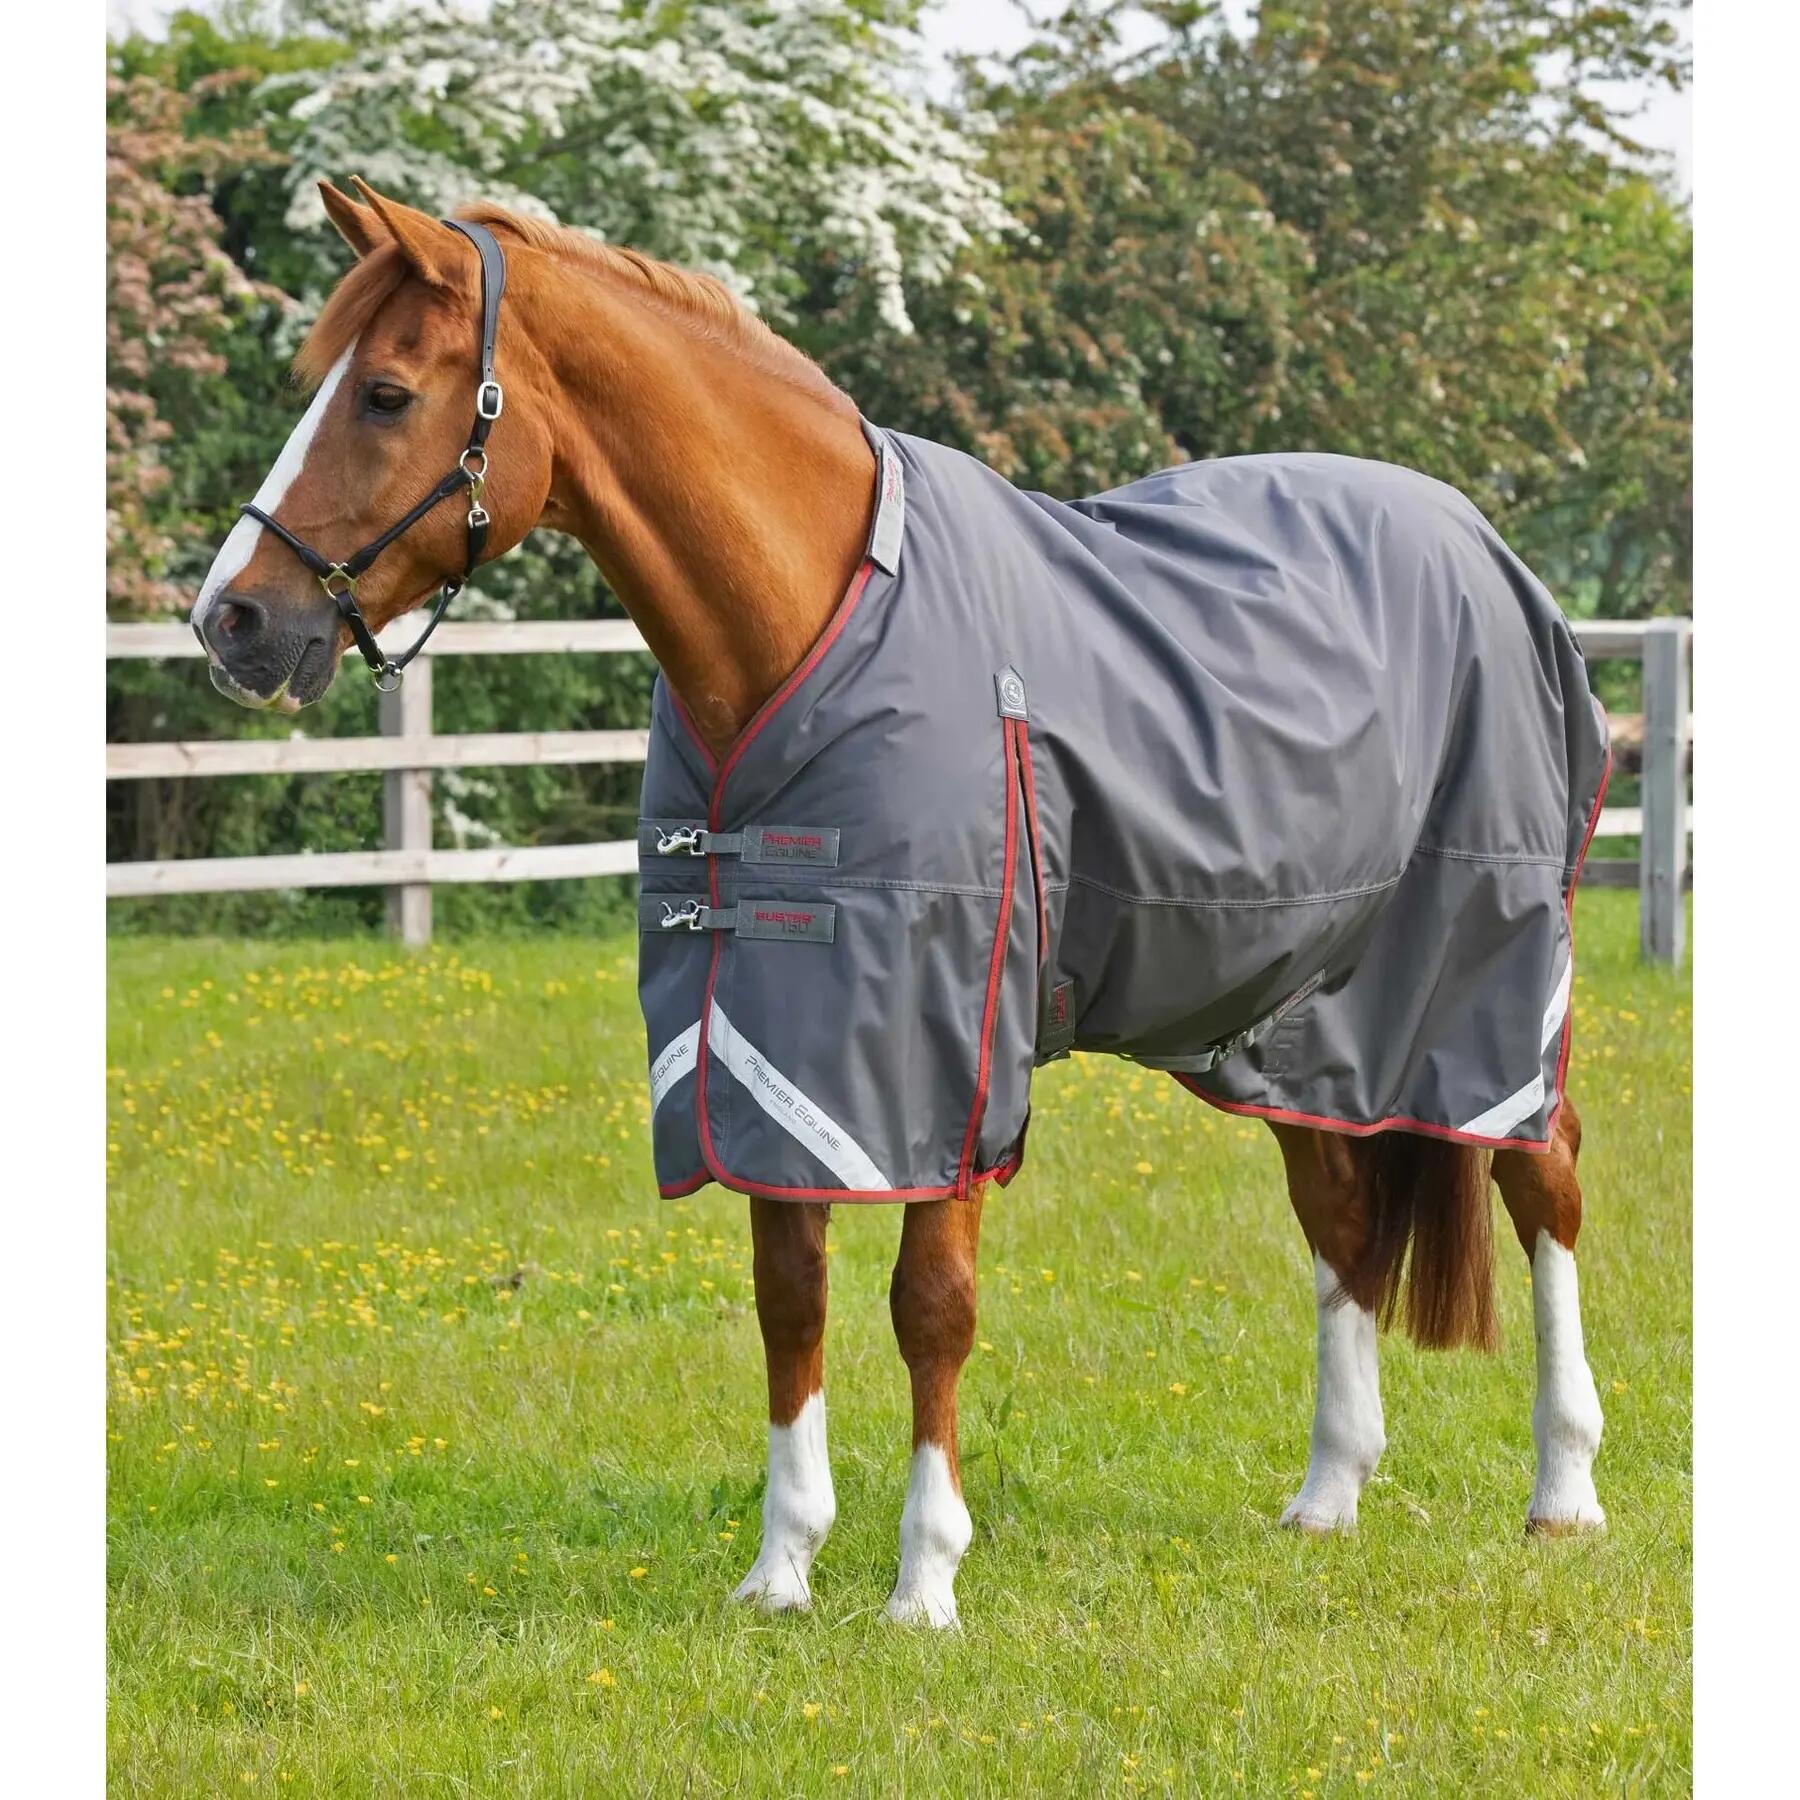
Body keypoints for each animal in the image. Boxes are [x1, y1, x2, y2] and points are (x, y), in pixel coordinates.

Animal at [190, 179, 1609, 1630]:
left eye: (384, 394)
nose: (229, 619)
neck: (811, 621)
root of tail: (1482, 544)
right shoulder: (770, 1041)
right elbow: (790, 1297)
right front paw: (782, 1569)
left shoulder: (950, 1049)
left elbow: (932, 1304)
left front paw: (925, 1580)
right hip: (1295, 1010)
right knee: (1341, 1216)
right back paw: (1329, 1492)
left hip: (1486, 980)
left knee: (1542, 1177)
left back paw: (1563, 1489)